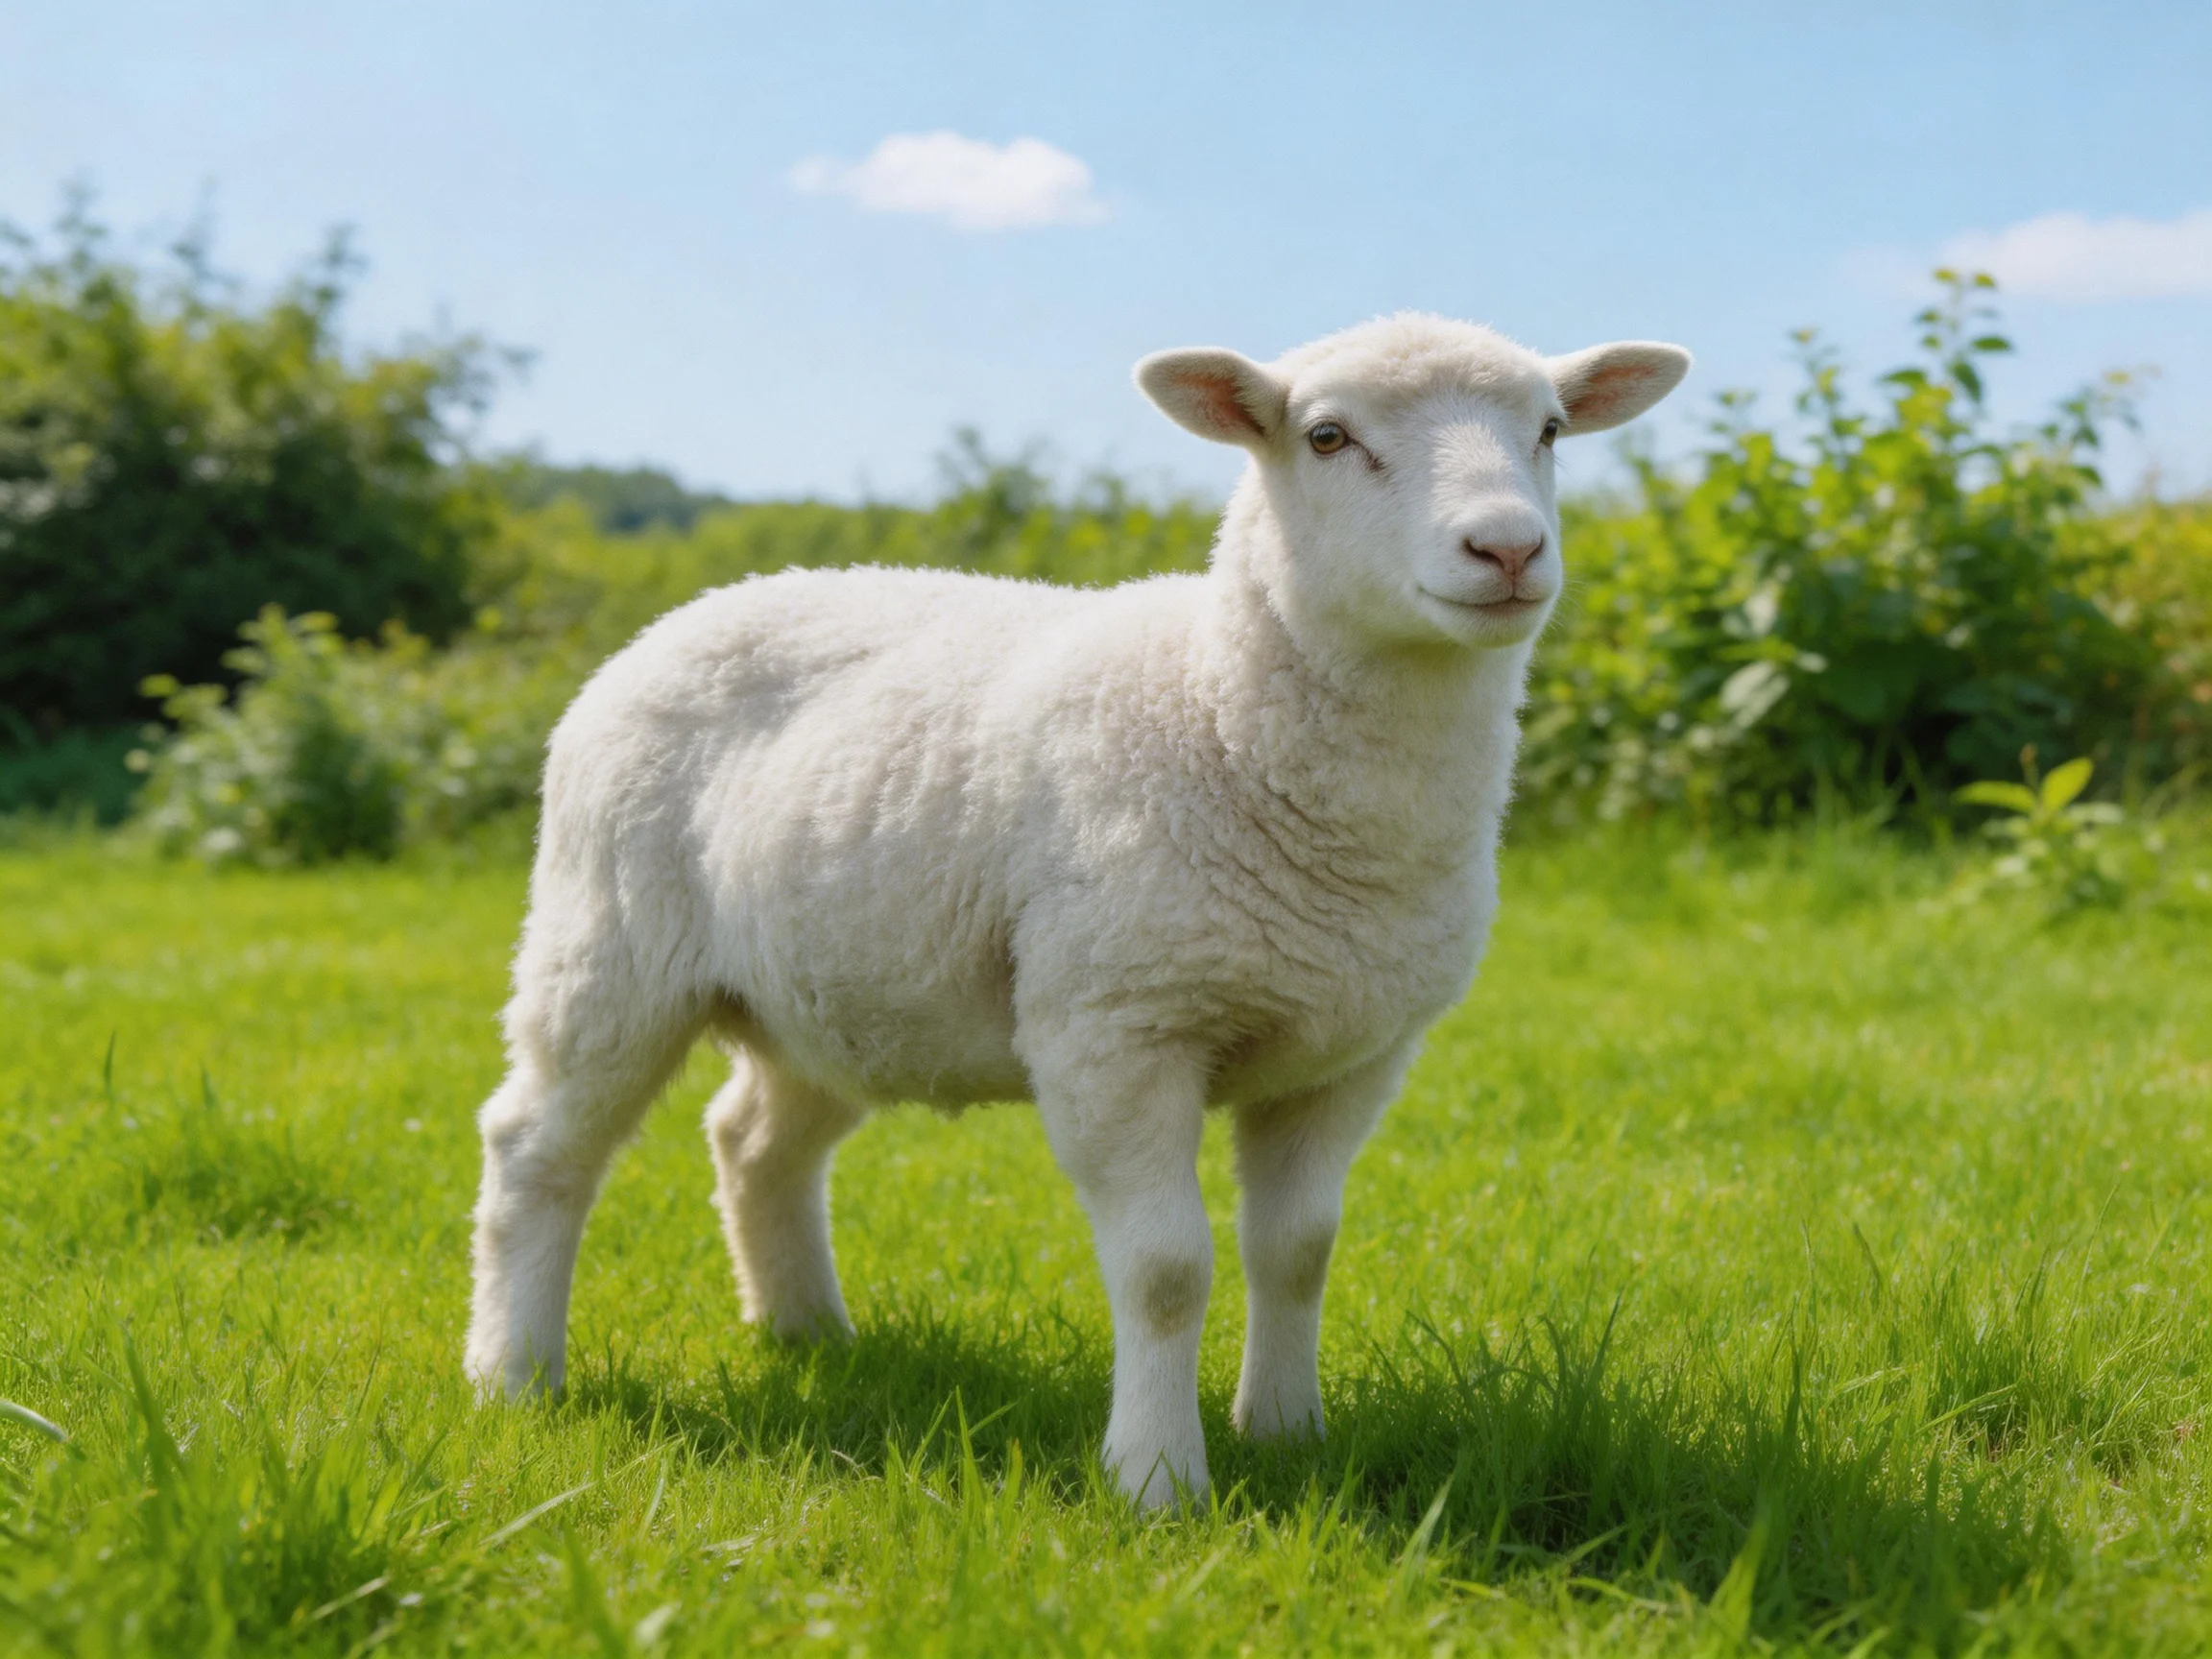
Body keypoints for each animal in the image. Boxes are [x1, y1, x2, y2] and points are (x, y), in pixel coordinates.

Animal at [463, 312, 1690, 1507]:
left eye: (1550, 430)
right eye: (1329, 437)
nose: (1509, 549)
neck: (1220, 707)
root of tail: (689, 612)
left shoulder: (1353, 1052)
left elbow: (1298, 1250)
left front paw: (1288, 1435)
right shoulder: (1118, 1026)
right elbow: (1165, 1271)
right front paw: (1157, 1481)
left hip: (831, 988)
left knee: (755, 1140)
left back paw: (808, 1333)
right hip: (608, 946)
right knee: (537, 1150)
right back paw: (513, 1373)